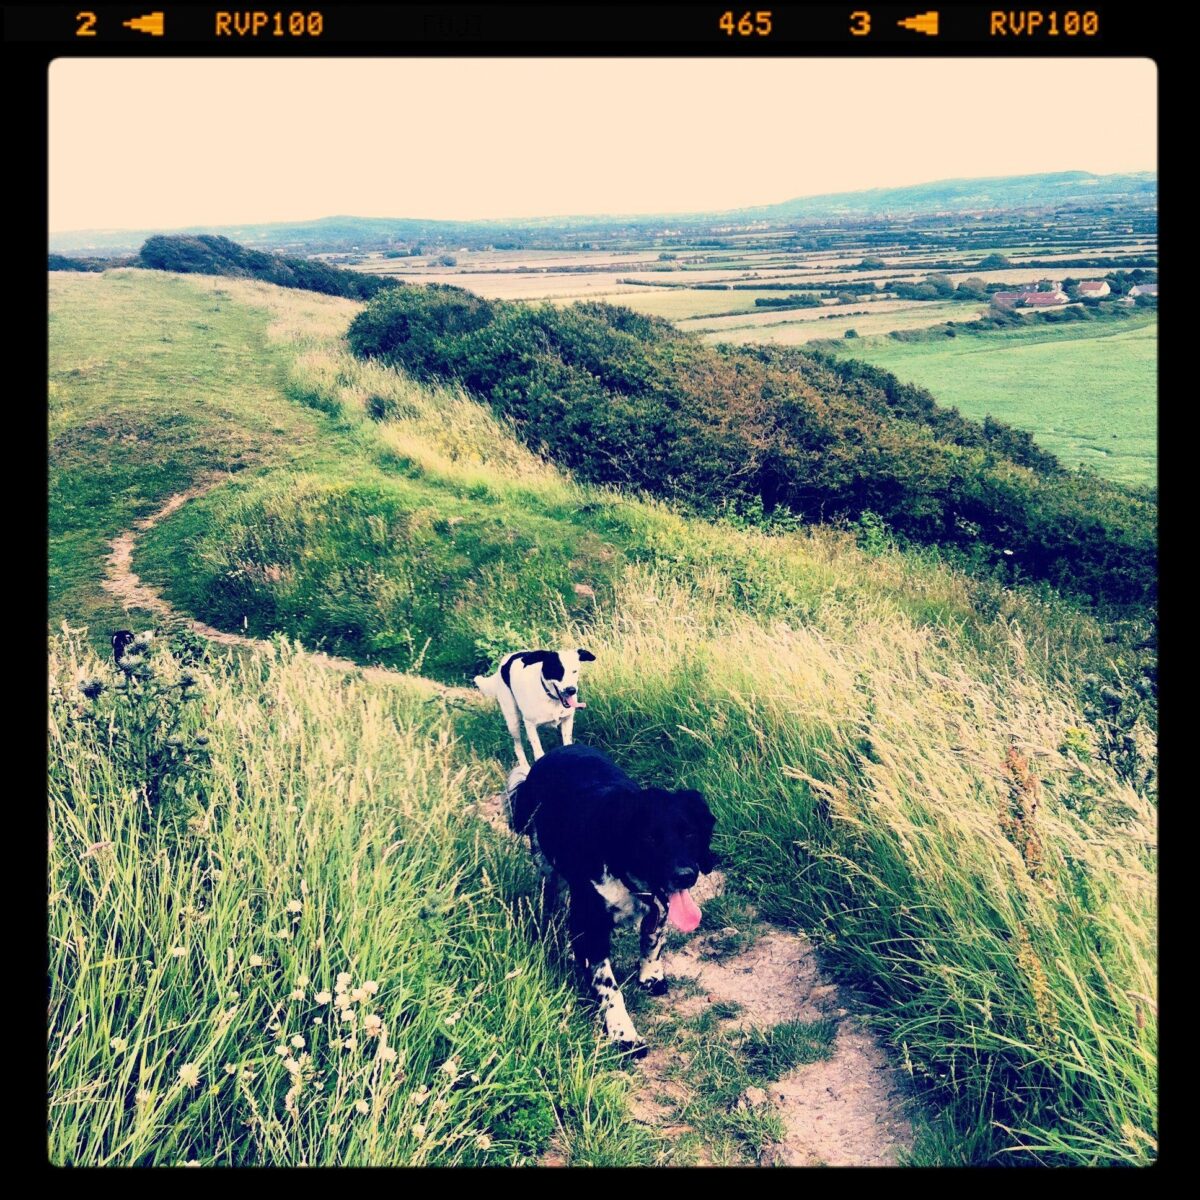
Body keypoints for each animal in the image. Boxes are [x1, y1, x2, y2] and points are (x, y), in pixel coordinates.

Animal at [511, 744, 715, 1056]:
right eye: (649, 839)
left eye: (689, 833)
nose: (685, 876)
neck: (624, 873)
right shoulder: (589, 925)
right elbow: (608, 986)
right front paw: (623, 1034)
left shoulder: (658, 907)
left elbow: (652, 942)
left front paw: (650, 976)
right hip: (546, 863)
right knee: (551, 903)